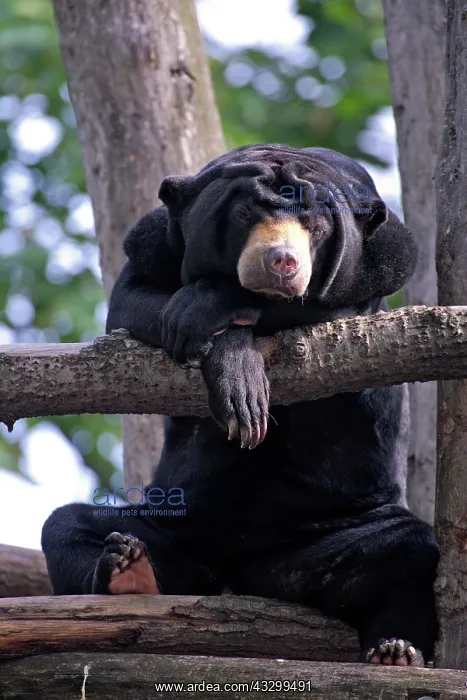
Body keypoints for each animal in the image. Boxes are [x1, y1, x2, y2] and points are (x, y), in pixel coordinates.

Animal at [42, 144, 439, 667]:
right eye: (247, 213)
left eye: (316, 227)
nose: (282, 261)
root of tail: (237, 576)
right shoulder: (154, 241)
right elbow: (128, 301)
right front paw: (228, 360)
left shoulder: (383, 258)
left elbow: (328, 305)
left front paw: (211, 311)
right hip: (177, 531)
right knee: (69, 526)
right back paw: (127, 570)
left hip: (316, 538)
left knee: (409, 550)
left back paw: (395, 649)